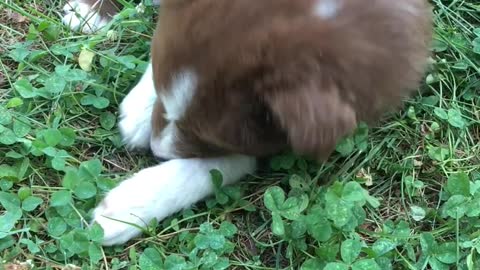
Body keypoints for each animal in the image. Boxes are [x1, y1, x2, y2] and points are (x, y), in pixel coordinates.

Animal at [66, 0, 432, 246]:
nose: (158, 151)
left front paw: (127, 207)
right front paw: (142, 108)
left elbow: (222, 165)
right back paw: (88, 13)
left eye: (211, 139)